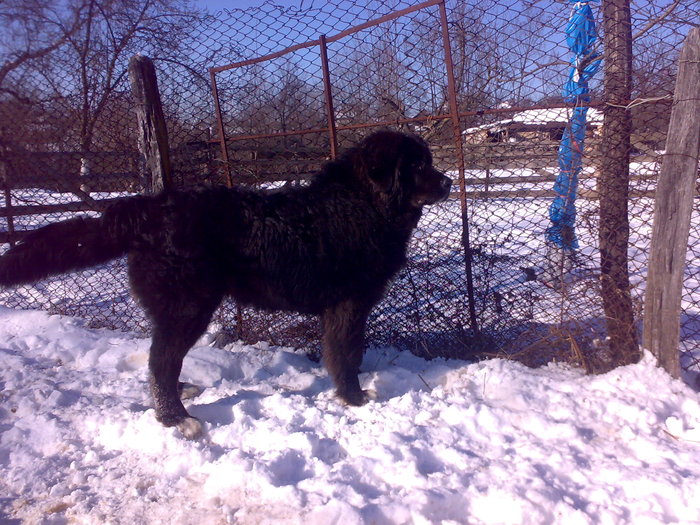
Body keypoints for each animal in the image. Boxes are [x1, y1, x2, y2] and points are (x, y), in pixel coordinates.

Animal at [0, 130, 448, 434]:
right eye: (417, 166)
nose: (446, 182)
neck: (362, 205)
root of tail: (147, 212)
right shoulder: (349, 305)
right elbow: (347, 356)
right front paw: (354, 398)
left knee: (161, 362)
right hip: (189, 308)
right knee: (160, 362)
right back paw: (176, 419)